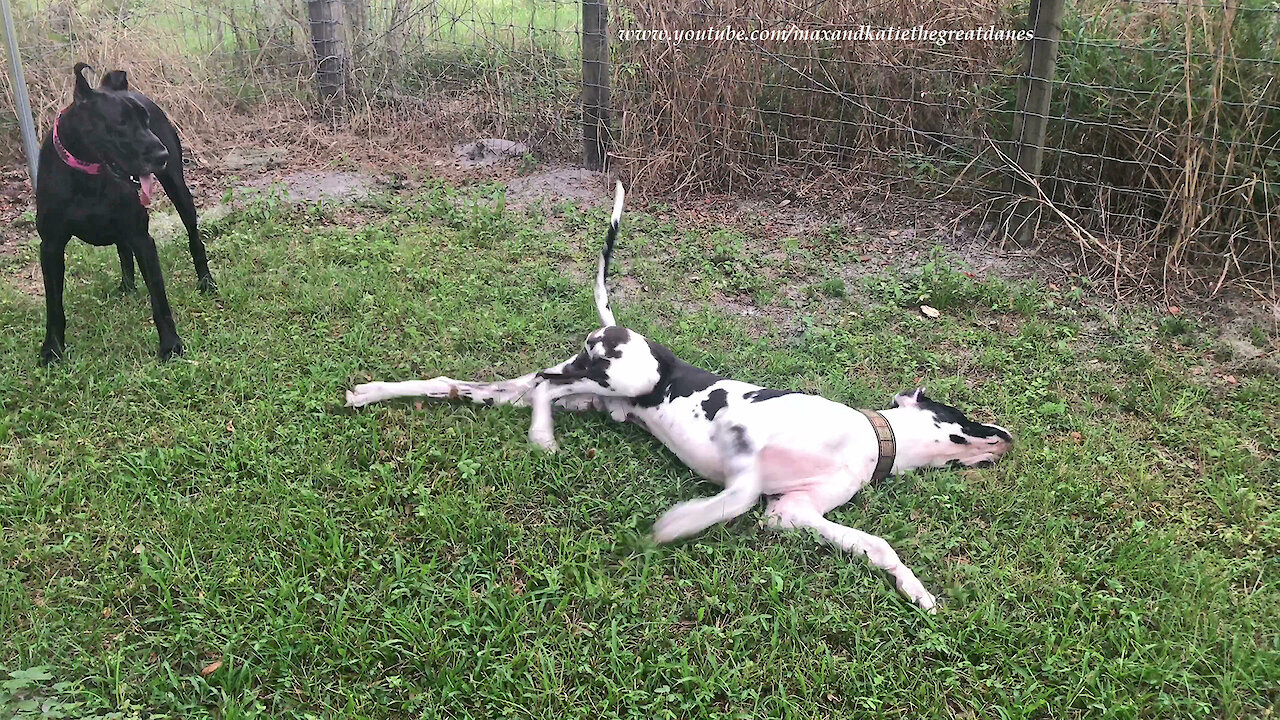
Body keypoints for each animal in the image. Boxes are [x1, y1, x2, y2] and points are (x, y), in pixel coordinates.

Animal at [348, 181, 1008, 607]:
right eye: (960, 416)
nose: (1008, 437)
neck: (868, 440)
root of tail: (619, 328)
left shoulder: (792, 512)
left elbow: (877, 547)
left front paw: (916, 590)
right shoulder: (745, 434)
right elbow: (736, 493)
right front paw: (679, 524)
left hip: (546, 390)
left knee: (472, 384)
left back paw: (368, 393)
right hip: (622, 376)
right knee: (544, 388)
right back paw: (541, 437)